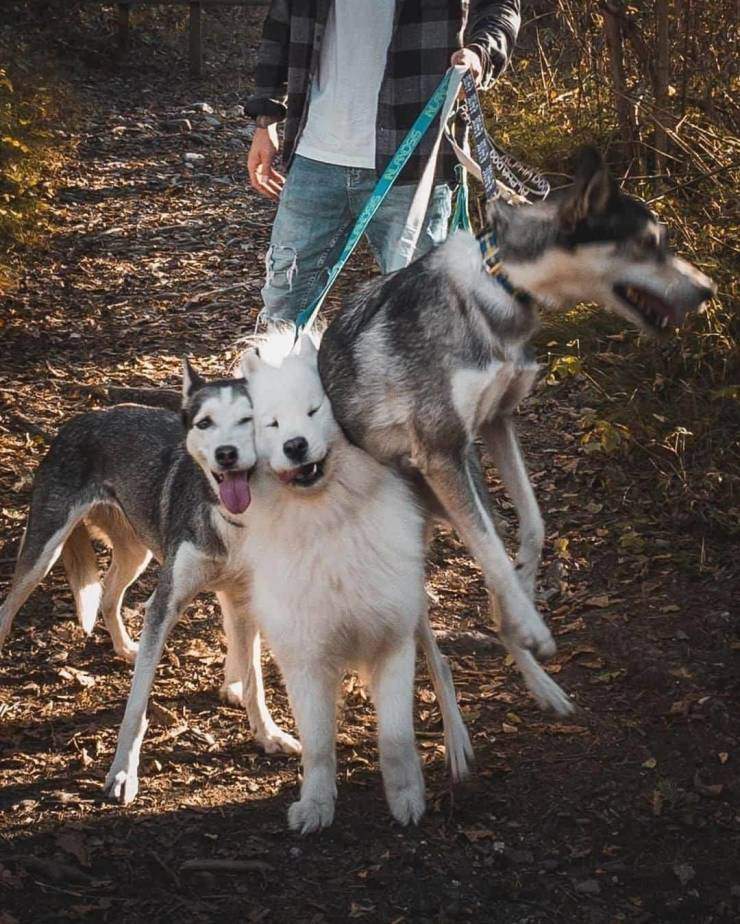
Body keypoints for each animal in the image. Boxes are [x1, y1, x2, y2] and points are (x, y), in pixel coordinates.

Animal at [0, 372, 300, 804]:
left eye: (249, 420)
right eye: (205, 423)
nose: (226, 455)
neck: (229, 517)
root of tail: (82, 418)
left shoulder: (243, 599)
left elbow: (255, 682)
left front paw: (269, 735)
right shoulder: (165, 604)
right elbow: (136, 706)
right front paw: (122, 773)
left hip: (135, 554)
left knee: (108, 594)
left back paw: (127, 647)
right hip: (43, 554)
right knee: (7, 608)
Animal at [241, 334, 474, 836]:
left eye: (314, 411)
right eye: (271, 423)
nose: (295, 445)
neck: (328, 521)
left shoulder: (393, 641)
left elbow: (396, 737)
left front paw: (407, 799)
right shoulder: (305, 658)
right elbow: (318, 745)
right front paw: (316, 806)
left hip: (415, 610)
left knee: (441, 665)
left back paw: (457, 743)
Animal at [320, 148, 716, 716]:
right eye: (647, 245)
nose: (708, 291)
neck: (499, 284)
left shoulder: (497, 423)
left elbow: (531, 526)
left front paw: (528, 581)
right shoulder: (441, 450)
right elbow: (492, 552)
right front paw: (533, 619)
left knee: (490, 598)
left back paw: (540, 682)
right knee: (428, 637)